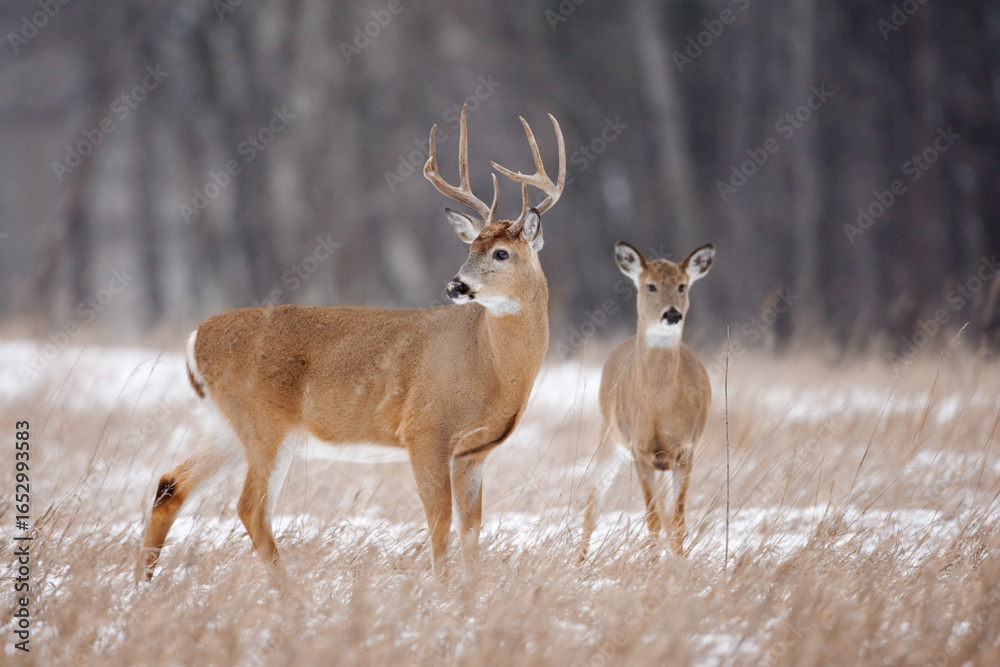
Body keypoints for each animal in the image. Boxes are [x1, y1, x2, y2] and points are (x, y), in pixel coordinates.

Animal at [138, 105, 565, 580]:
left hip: (225, 425)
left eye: (501, 253)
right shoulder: (425, 431)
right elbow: (439, 524)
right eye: (470, 247)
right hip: (264, 422)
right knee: (250, 507)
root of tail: (195, 339)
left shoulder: (474, 453)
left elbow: (471, 531)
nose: (456, 285)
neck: (493, 366)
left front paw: (472, 590)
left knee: (171, 484)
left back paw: (144, 584)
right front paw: (442, 588)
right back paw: (288, 590)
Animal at [579, 240, 715, 561]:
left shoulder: (685, 449)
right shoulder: (639, 450)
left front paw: (677, 565)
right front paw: (652, 567)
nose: (672, 314)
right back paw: (577, 564)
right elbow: (652, 519)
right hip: (610, 435)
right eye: (650, 286)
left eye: (682, 285)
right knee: (592, 508)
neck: (659, 409)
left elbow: (676, 520)